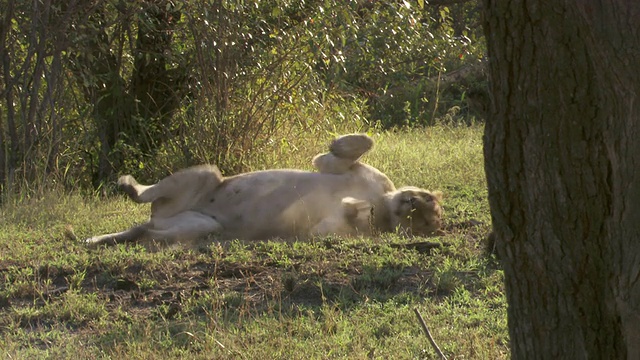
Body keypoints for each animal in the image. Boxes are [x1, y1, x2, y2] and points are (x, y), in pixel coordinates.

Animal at [85, 133, 442, 248]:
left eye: (424, 221)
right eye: (425, 203)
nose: (410, 204)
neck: (383, 203)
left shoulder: (323, 230)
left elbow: (338, 224)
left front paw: (357, 209)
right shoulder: (340, 168)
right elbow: (362, 142)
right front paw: (337, 144)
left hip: (203, 225)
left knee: (144, 231)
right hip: (207, 175)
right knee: (144, 204)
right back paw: (126, 184)